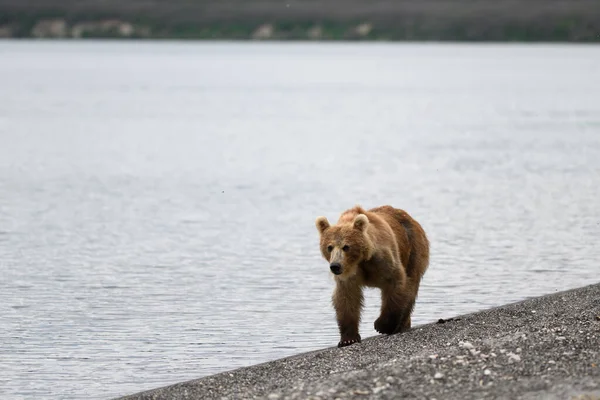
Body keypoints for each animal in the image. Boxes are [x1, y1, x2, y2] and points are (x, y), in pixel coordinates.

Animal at [316, 206, 428, 346]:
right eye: (329, 247)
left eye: (346, 247)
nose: (335, 266)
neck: (361, 260)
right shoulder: (349, 275)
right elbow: (346, 298)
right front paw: (348, 338)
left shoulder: (384, 260)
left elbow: (395, 285)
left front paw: (381, 325)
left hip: (414, 250)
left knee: (411, 287)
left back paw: (401, 325)